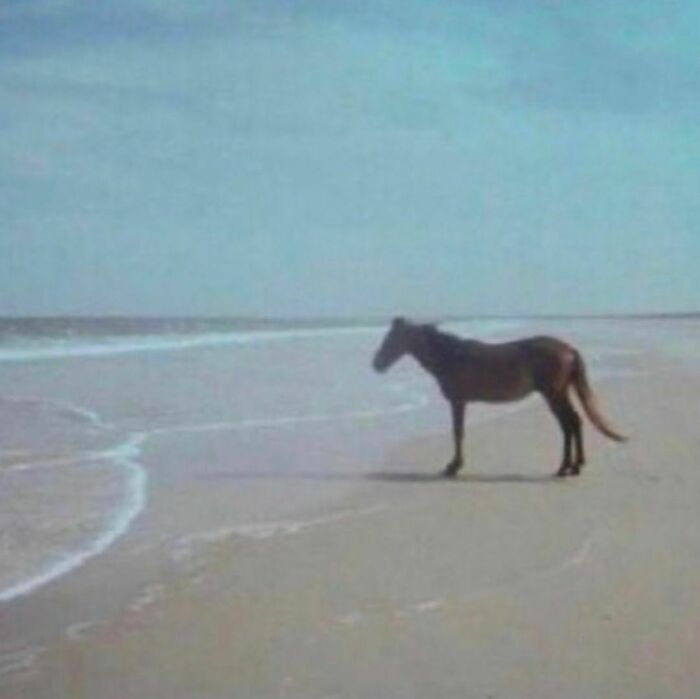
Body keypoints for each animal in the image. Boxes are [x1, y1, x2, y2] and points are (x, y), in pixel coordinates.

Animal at [372, 317, 626, 478]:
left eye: (392, 339)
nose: (376, 364)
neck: (451, 356)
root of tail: (569, 350)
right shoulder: (460, 401)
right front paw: (454, 465)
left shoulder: (458, 401)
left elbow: (457, 432)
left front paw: (453, 467)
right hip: (559, 393)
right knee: (574, 422)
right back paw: (575, 466)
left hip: (553, 394)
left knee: (568, 423)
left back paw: (564, 468)